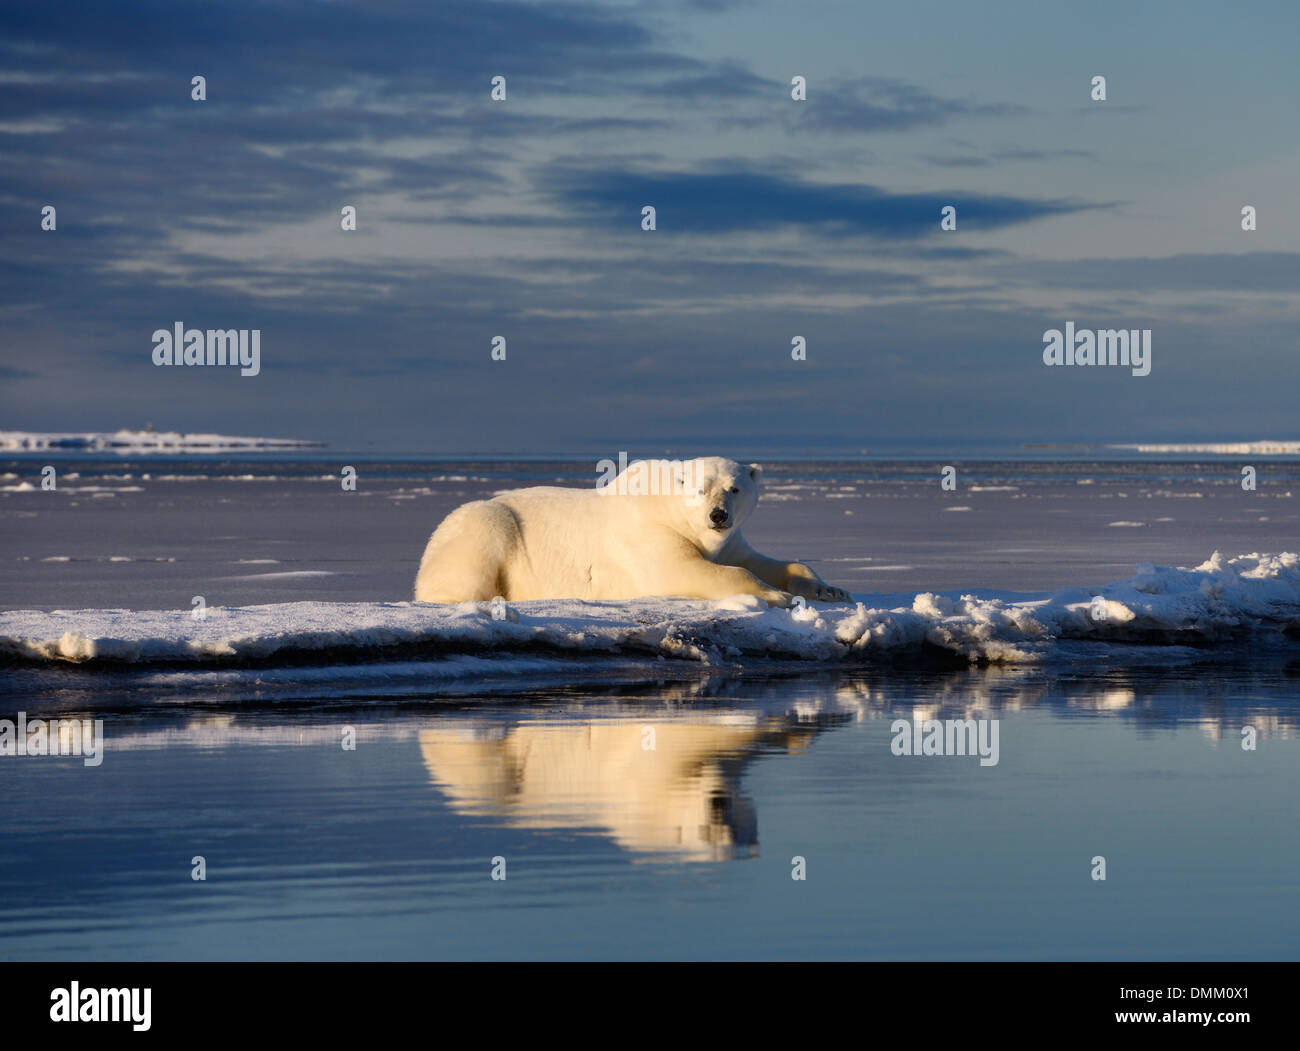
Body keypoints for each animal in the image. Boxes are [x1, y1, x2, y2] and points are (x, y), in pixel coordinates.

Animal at [410, 457, 847, 608]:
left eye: (734, 488)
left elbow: (756, 560)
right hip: (481, 525)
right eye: (700, 488)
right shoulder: (648, 533)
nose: (718, 515)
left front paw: (829, 589)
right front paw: (777, 596)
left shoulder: (730, 542)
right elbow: (680, 570)